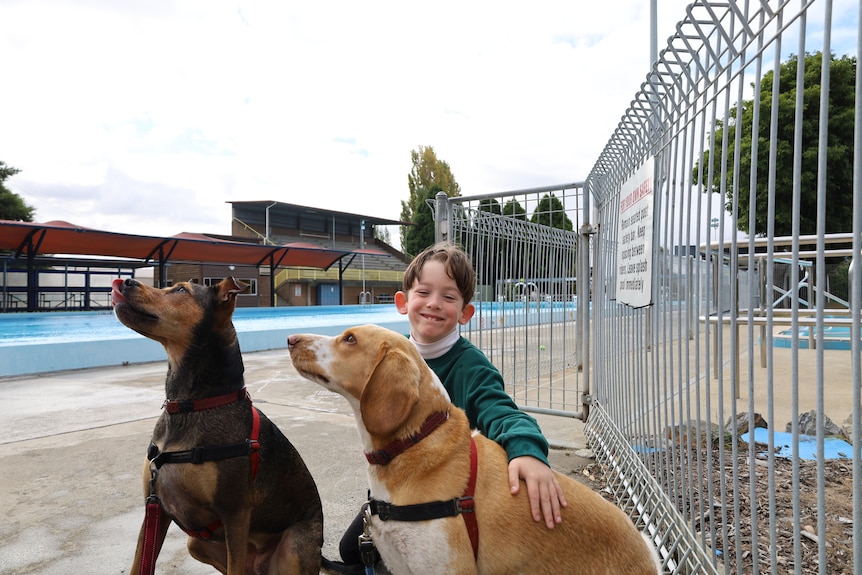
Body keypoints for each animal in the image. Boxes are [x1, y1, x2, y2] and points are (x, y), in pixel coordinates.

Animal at [114, 276, 352, 572]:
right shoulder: (154, 511)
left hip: (294, 548)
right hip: (196, 544)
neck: (191, 405)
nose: (125, 281)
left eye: (181, 290)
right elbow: (139, 563)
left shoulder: (235, 513)